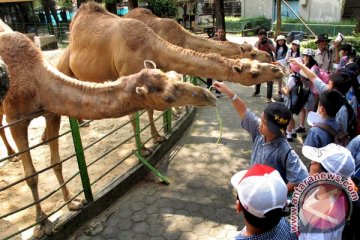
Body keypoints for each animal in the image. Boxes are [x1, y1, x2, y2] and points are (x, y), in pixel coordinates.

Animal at [0, 21, 215, 238]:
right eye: (168, 97)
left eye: (175, 78)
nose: (209, 96)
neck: (36, 81)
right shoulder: (16, 120)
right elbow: (31, 175)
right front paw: (43, 223)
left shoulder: (52, 112)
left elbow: (57, 162)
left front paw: (73, 202)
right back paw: (12, 155)